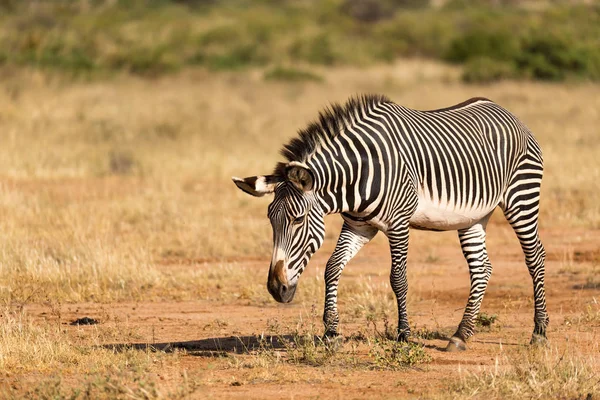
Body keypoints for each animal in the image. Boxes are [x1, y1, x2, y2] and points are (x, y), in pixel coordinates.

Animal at [233, 95, 548, 352]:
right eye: (270, 221)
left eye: (297, 219)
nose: (276, 289)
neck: (355, 175)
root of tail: (506, 111)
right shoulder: (359, 226)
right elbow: (332, 268)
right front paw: (332, 332)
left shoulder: (398, 224)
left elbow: (398, 279)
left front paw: (404, 336)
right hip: (474, 216)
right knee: (482, 269)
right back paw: (461, 335)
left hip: (521, 197)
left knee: (535, 257)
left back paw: (539, 332)